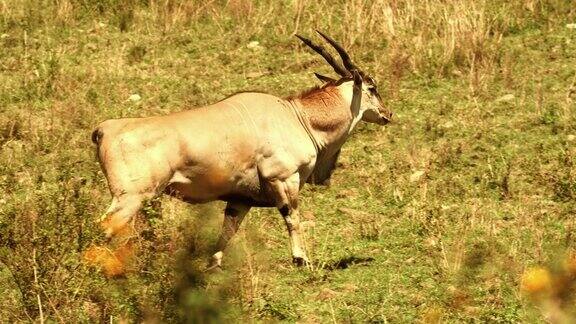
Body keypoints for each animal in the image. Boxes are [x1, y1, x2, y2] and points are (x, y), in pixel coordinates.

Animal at [92, 31, 394, 268]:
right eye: (372, 87)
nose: (387, 114)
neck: (298, 116)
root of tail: (104, 129)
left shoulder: (240, 200)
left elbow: (228, 230)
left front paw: (213, 264)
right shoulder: (283, 180)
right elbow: (292, 218)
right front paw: (301, 259)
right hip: (131, 199)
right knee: (104, 228)